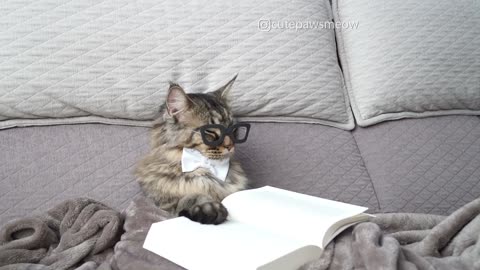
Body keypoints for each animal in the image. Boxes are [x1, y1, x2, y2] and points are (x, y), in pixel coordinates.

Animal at [135, 76, 248, 224]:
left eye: (232, 129)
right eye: (211, 132)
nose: (231, 146)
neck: (206, 170)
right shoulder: (162, 203)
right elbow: (191, 197)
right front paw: (210, 208)